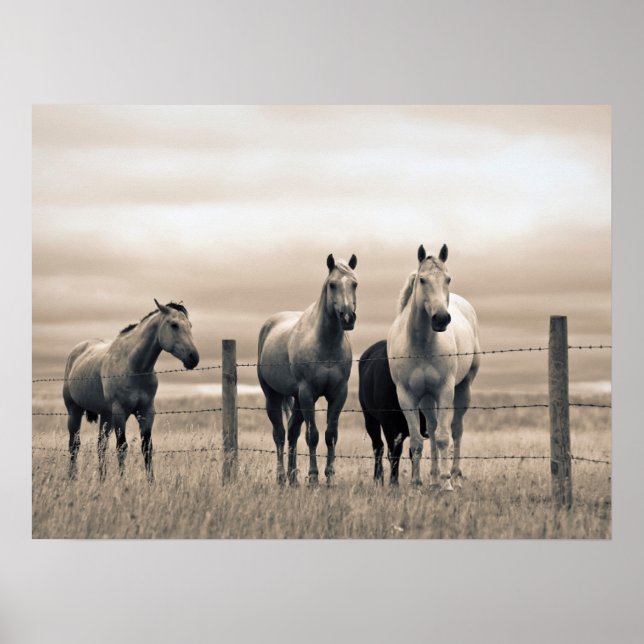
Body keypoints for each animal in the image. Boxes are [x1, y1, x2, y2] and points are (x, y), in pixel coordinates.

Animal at [62, 300, 199, 481]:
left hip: (106, 416)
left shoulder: (146, 412)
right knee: (74, 445)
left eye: (190, 325)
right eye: (174, 325)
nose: (193, 357)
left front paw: (151, 482)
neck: (134, 367)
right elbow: (122, 447)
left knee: (101, 445)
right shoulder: (120, 412)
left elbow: (147, 448)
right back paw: (72, 478)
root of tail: (75, 352)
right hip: (74, 411)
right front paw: (122, 482)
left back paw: (102, 480)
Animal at [257, 253, 358, 486]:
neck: (326, 344)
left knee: (292, 431)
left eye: (355, 284)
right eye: (332, 284)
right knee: (280, 433)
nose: (348, 317)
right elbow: (313, 436)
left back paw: (293, 478)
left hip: (297, 400)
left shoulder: (338, 393)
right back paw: (281, 477)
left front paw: (329, 477)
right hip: (274, 396)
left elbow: (331, 435)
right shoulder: (307, 393)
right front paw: (313, 477)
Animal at [358, 339, 428, 485]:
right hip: (370, 419)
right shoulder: (389, 425)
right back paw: (378, 478)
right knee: (378, 447)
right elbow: (394, 453)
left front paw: (415, 480)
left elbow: (413, 451)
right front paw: (393, 483)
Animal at [387, 244, 480, 491]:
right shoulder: (407, 396)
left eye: (448, 278)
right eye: (422, 280)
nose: (441, 319)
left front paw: (447, 484)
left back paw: (453, 475)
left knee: (456, 430)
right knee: (432, 425)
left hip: (463, 389)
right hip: (427, 398)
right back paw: (434, 477)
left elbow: (443, 437)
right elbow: (417, 440)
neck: (421, 345)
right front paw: (416, 483)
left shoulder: (445, 390)